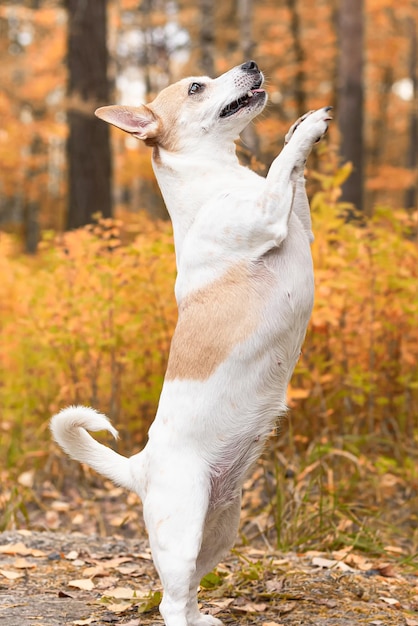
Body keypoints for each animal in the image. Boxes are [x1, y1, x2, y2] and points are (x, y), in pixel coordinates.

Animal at [50, 59, 332, 624]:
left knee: (191, 590)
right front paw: (308, 127)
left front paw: (296, 127)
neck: (220, 177)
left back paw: (204, 617)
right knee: (170, 601)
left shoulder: (295, 218)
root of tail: (139, 467)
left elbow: (293, 175)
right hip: (181, 534)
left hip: (220, 530)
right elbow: (281, 168)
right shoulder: (268, 214)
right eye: (197, 87)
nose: (250, 63)